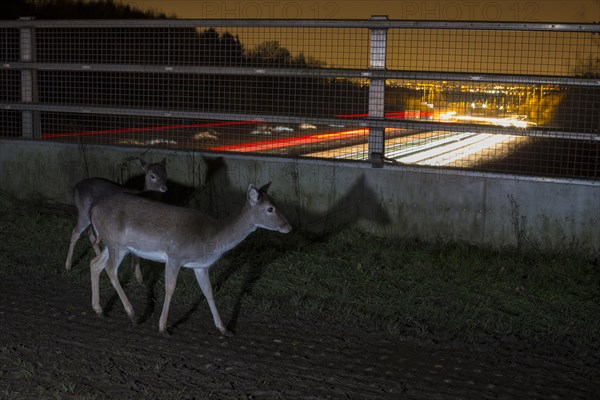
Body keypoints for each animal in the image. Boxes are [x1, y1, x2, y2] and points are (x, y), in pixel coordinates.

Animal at [88, 183, 292, 336]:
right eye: (270, 208)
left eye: (277, 203)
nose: (288, 227)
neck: (210, 238)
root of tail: (93, 210)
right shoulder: (174, 256)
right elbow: (170, 288)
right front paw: (163, 327)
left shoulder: (201, 266)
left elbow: (208, 291)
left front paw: (224, 329)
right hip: (117, 242)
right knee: (110, 269)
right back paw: (133, 315)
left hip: (110, 243)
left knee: (95, 264)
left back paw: (99, 310)